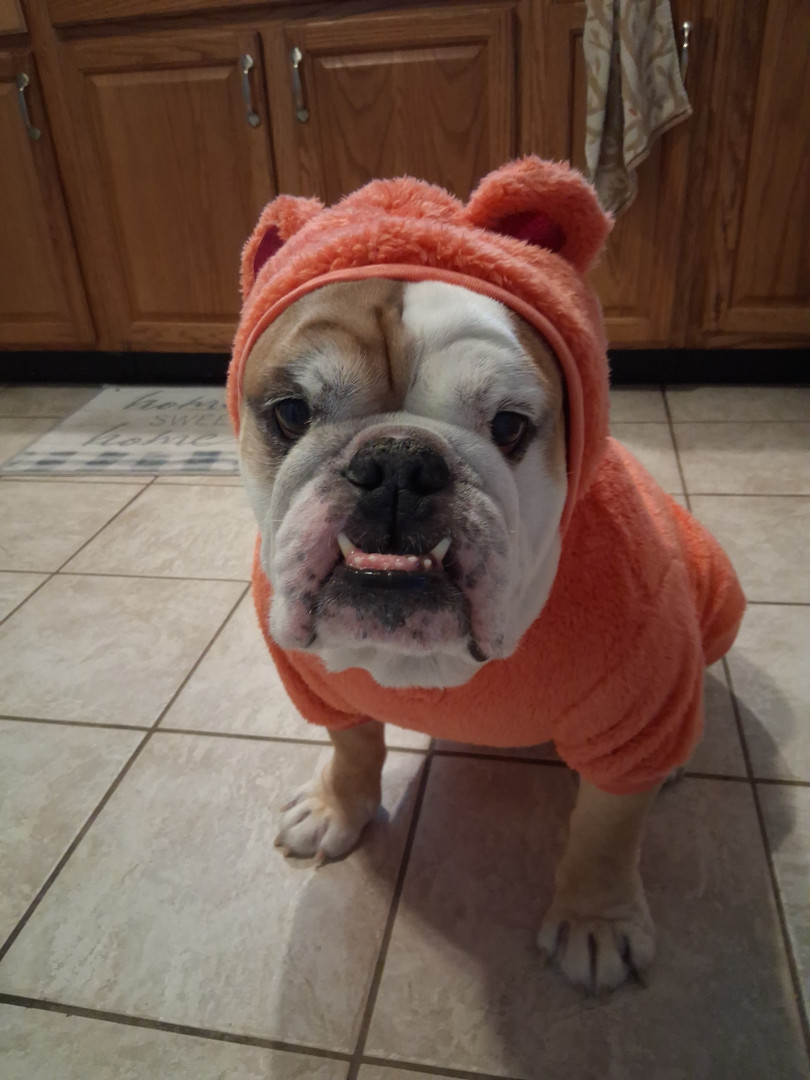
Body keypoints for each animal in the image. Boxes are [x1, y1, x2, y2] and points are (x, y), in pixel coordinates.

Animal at [227, 159, 746, 994]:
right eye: (290, 412)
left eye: (509, 426)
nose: (399, 461)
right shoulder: (318, 683)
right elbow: (354, 741)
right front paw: (339, 806)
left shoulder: (639, 691)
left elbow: (606, 827)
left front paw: (597, 918)